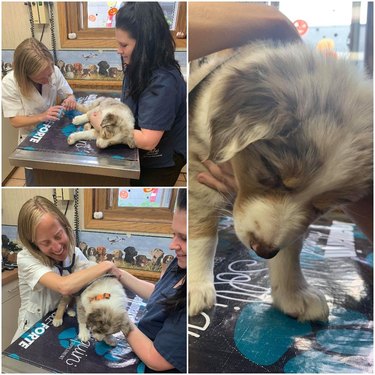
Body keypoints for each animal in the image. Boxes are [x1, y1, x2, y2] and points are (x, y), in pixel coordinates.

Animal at [189, 41, 374, 324]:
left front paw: (293, 294)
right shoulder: (197, 164)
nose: (263, 251)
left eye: (322, 207)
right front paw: (194, 287)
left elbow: (290, 248)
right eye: (272, 172)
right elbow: (202, 231)